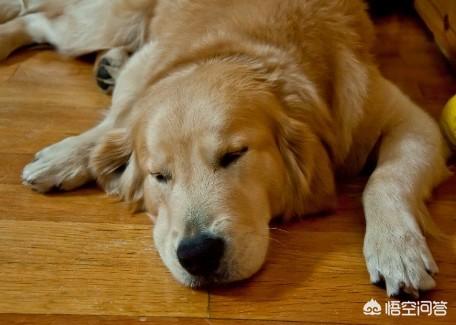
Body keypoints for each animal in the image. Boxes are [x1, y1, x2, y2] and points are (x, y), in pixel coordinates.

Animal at [0, 0, 450, 294]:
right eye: (159, 176)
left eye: (234, 156)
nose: (198, 255)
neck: (238, 52)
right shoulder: (147, 72)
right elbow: (117, 122)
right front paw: (71, 155)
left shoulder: (411, 122)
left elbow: (385, 179)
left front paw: (396, 248)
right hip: (102, 22)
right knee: (39, 19)